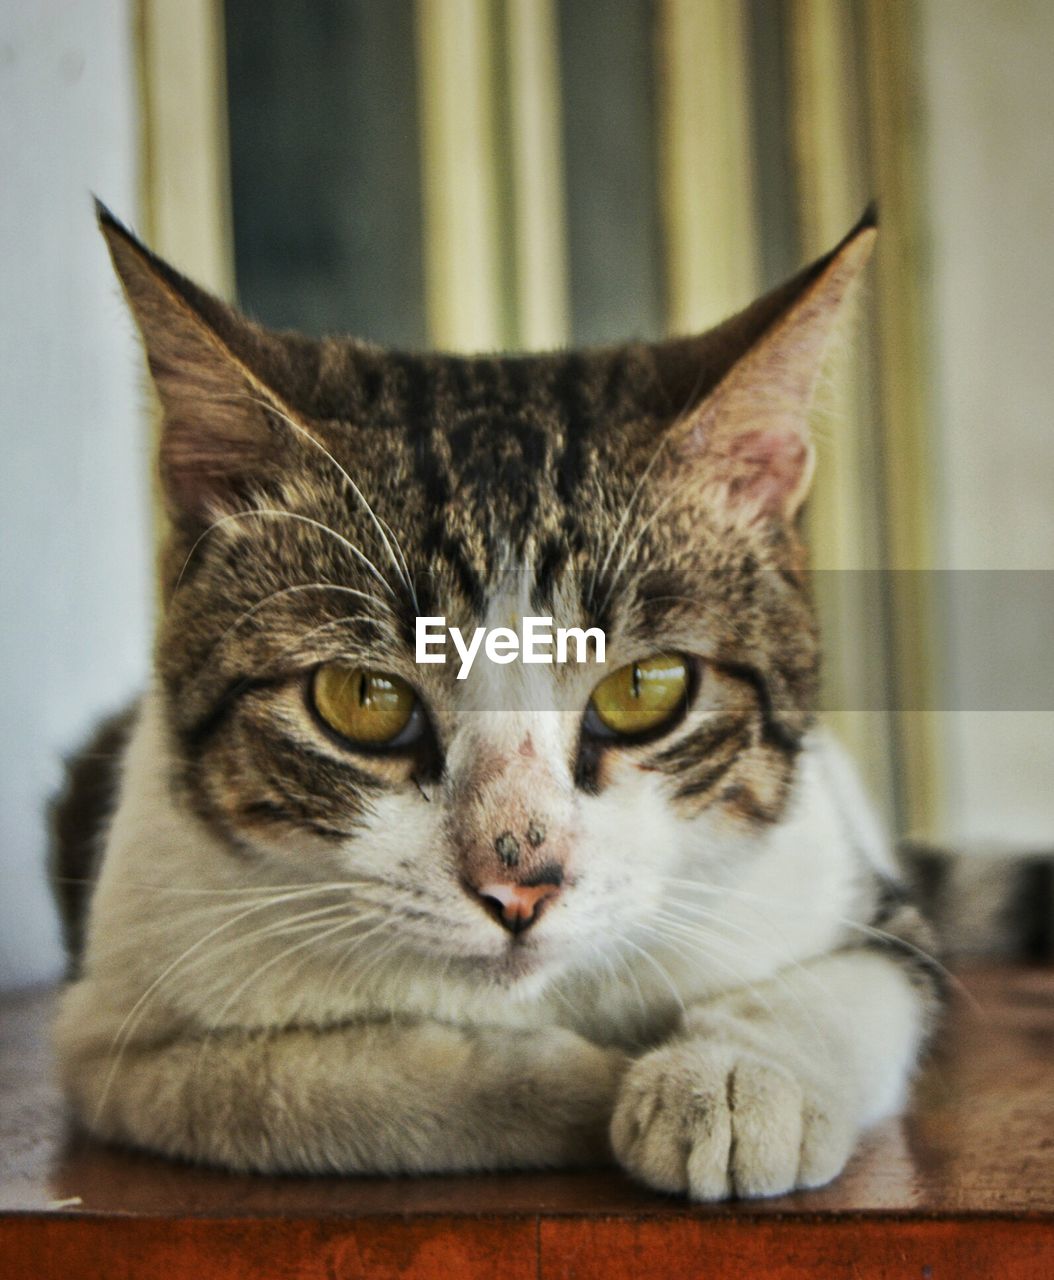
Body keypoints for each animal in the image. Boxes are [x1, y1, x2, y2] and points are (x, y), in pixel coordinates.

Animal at [49, 199, 942, 1198]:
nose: (520, 883)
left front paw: (738, 1080)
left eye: (643, 689)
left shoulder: (859, 898)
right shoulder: (112, 1036)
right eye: (364, 696)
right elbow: (280, 1089)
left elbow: (857, 983)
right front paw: (578, 1085)